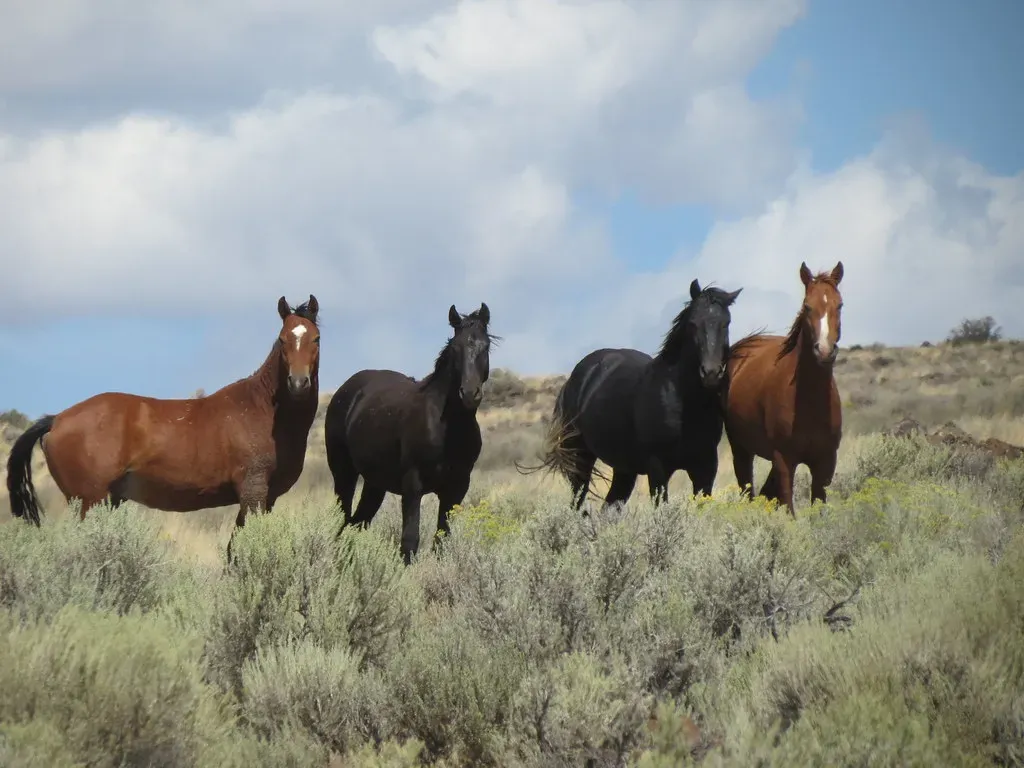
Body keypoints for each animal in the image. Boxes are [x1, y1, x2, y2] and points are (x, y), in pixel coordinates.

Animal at [6, 295, 322, 560]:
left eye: (316, 338)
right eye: (282, 339)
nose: (298, 383)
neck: (262, 408)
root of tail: (57, 419)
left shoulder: (266, 499)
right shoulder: (252, 493)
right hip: (89, 502)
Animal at [324, 302, 495, 565]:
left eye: (485, 346)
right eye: (455, 348)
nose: (469, 393)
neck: (447, 429)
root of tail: (345, 391)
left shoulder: (456, 489)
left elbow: (441, 540)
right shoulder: (413, 486)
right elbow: (410, 541)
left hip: (375, 484)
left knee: (356, 524)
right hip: (344, 473)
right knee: (343, 520)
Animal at [522, 280, 742, 510]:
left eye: (726, 323)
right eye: (693, 323)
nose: (711, 373)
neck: (685, 403)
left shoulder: (705, 467)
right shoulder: (658, 468)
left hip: (624, 469)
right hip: (581, 456)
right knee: (577, 500)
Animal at [724, 261, 844, 516]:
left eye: (840, 305)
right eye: (807, 306)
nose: (825, 351)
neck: (810, 401)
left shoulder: (825, 461)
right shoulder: (785, 460)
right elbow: (789, 509)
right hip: (741, 450)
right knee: (748, 490)